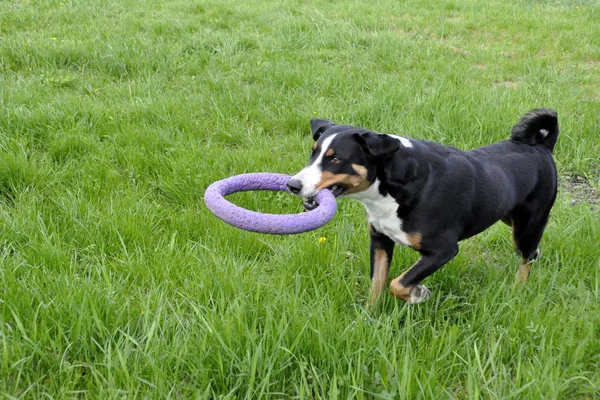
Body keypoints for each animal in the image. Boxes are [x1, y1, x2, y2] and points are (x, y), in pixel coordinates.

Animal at [286, 108, 556, 304]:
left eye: (335, 159)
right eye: (313, 153)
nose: (292, 184)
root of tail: (541, 147)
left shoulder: (442, 250)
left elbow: (398, 283)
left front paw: (418, 293)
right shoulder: (381, 240)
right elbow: (377, 284)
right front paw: (367, 319)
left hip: (526, 226)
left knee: (527, 257)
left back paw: (517, 291)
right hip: (508, 217)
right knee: (533, 253)